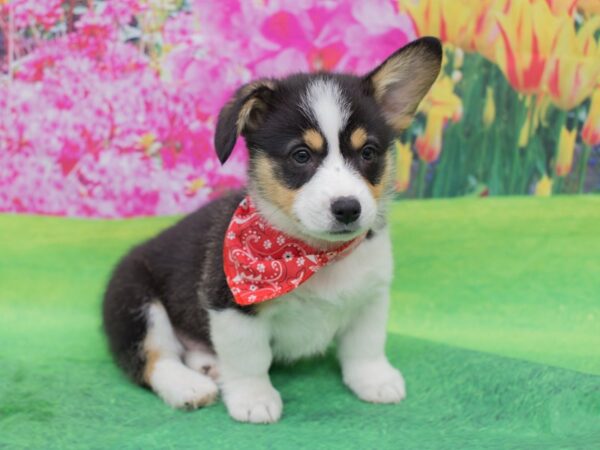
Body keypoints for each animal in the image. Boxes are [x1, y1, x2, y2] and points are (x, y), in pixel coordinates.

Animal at [102, 37, 440, 424]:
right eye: (301, 155)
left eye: (368, 152)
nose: (347, 208)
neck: (316, 255)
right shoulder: (230, 305)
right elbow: (250, 359)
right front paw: (254, 399)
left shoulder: (370, 298)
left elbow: (365, 346)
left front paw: (375, 380)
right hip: (136, 303)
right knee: (154, 358)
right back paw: (190, 387)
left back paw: (208, 365)